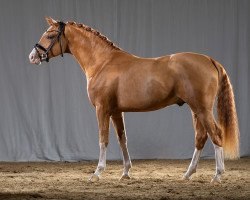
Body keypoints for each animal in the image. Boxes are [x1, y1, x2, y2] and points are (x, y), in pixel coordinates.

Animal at [28, 18, 239, 184]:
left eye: (50, 35)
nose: (32, 56)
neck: (103, 62)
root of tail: (210, 60)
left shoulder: (102, 109)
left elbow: (103, 139)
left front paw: (97, 173)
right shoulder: (116, 111)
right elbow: (122, 139)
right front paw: (126, 172)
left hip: (202, 109)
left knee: (216, 134)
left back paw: (217, 175)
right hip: (196, 110)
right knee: (201, 137)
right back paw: (188, 174)